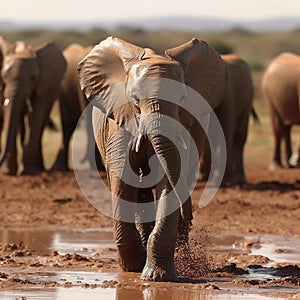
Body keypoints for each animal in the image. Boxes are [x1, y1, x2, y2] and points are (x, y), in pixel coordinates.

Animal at [0, 37, 65, 176]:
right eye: (4, 76)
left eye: (33, 78)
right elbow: (10, 116)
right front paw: (8, 173)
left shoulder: (43, 86)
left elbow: (35, 118)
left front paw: (28, 173)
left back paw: (39, 169)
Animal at [77, 37, 227, 282]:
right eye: (135, 100)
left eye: (183, 99)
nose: (190, 214)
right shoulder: (120, 121)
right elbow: (123, 180)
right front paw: (133, 266)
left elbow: (168, 179)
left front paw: (157, 276)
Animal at [200, 53, 254, 185]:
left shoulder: (227, 95)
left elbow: (225, 133)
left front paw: (223, 183)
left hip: (248, 98)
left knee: (239, 136)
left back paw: (239, 181)